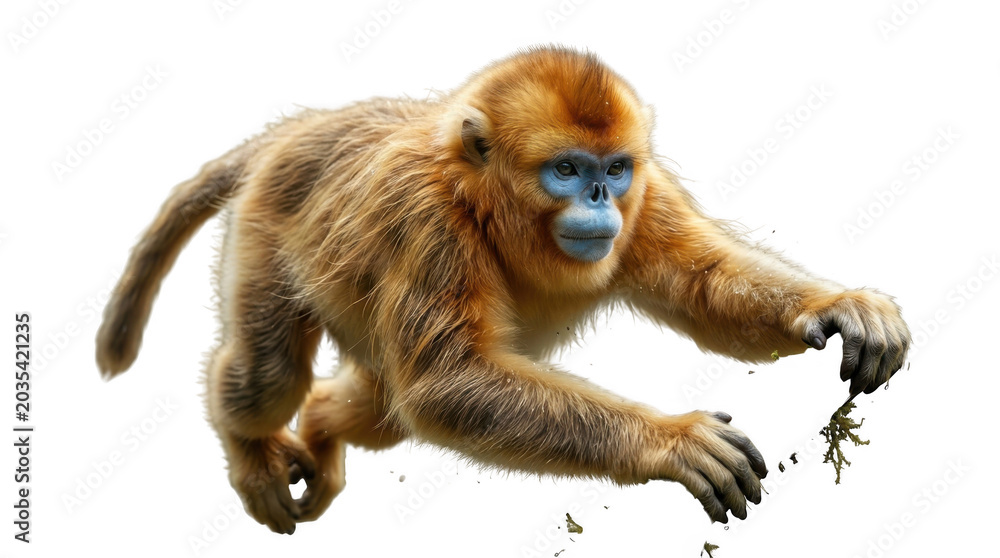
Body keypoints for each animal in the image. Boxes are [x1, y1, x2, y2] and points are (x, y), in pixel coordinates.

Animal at [95, 46, 910, 535]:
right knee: (269, 376)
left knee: (374, 409)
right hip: (267, 226)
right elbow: (446, 386)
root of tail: (304, 129)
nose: (600, 202)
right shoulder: (425, 220)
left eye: (614, 169)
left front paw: (837, 306)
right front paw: (669, 441)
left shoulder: (648, 197)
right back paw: (251, 446)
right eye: (566, 170)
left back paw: (324, 428)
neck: (482, 200)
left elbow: (702, 288)